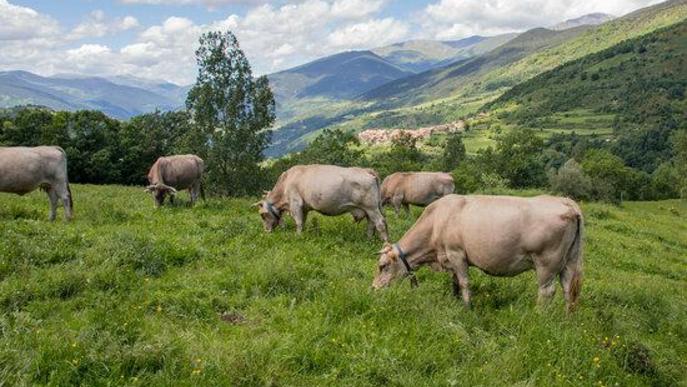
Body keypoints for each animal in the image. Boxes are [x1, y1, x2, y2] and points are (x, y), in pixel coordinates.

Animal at [255, 165, 390, 241]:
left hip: (371, 207)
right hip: (369, 209)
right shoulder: (304, 207)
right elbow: (302, 221)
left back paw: (385, 242)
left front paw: (297, 236)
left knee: (380, 223)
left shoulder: (295, 203)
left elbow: (298, 221)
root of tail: (366, 170)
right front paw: (302, 234)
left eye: (262, 215)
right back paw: (368, 239)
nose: (266, 231)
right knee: (371, 224)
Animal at [374, 196, 584, 314]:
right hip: (569, 260)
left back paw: (539, 316)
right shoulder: (450, 260)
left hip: (546, 262)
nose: (374, 288)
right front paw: (455, 302)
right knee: (568, 290)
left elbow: (464, 283)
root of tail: (566, 202)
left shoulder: (456, 254)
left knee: (547, 291)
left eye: (382, 266)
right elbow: (455, 284)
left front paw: (467, 309)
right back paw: (567, 318)